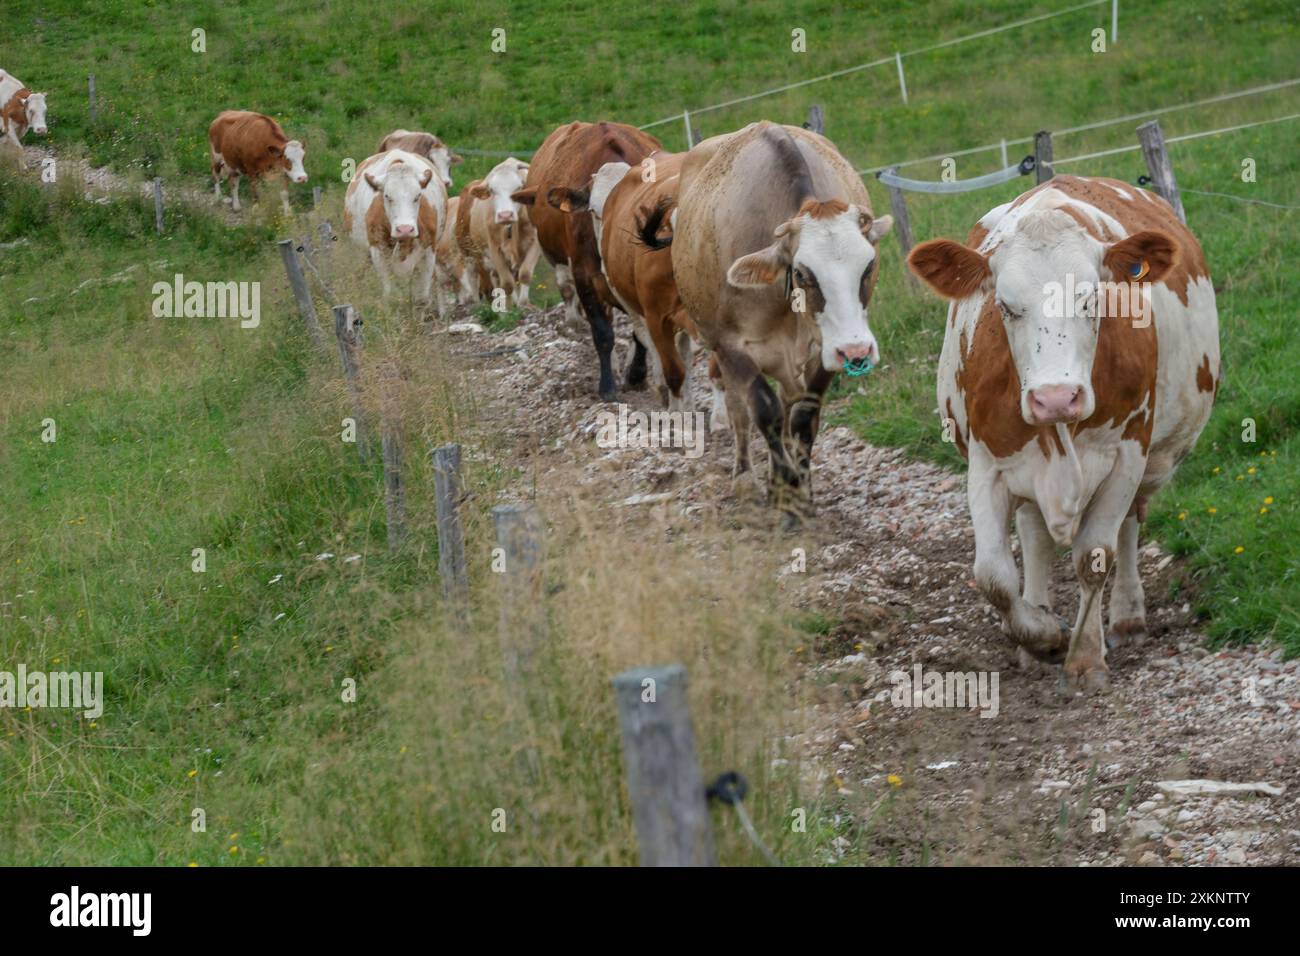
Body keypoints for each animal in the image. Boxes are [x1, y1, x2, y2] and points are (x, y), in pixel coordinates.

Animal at [342, 149, 446, 304]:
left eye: (418, 196)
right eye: (387, 196)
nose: (405, 229)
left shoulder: (430, 250)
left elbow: (422, 294)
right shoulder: (377, 250)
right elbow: (389, 292)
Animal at [456, 157, 542, 308]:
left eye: (518, 188)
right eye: (492, 190)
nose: (505, 215)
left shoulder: (535, 242)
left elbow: (525, 274)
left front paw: (523, 304)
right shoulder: (495, 248)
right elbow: (507, 283)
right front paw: (508, 308)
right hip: (469, 254)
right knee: (475, 280)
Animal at [511, 121, 662, 400]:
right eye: (594, 210)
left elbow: (640, 334)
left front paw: (636, 375)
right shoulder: (584, 276)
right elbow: (602, 332)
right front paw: (607, 387)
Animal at [648, 122, 892, 526]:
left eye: (868, 264)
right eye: (802, 273)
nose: (856, 350)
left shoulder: (822, 352)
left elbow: (803, 419)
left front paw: (800, 492)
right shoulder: (733, 348)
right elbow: (766, 413)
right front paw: (782, 489)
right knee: (739, 411)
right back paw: (745, 476)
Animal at [908, 175, 1220, 692]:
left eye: (1091, 299)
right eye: (1005, 306)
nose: (1055, 398)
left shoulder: (1126, 455)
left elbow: (1094, 555)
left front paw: (1085, 657)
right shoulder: (986, 464)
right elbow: (993, 576)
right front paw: (1043, 635)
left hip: (1154, 460)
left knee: (1129, 525)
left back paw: (1127, 617)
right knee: (1034, 537)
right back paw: (1038, 625)